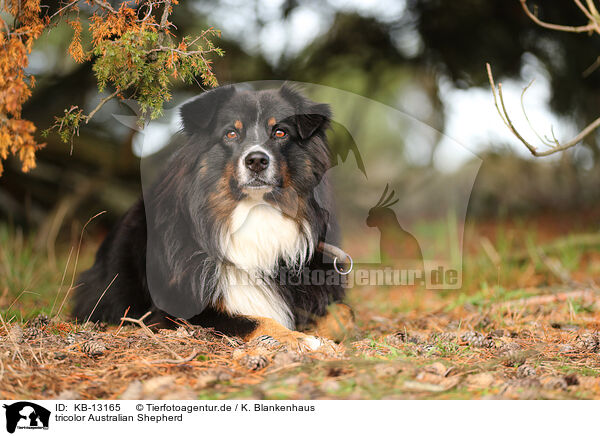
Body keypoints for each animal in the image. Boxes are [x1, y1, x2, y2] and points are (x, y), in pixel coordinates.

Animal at [71, 85, 352, 350]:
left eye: (280, 132)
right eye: (231, 133)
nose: (256, 161)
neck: (255, 213)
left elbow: (344, 314)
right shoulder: (183, 310)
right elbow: (257, 320)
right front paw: (301, 339)